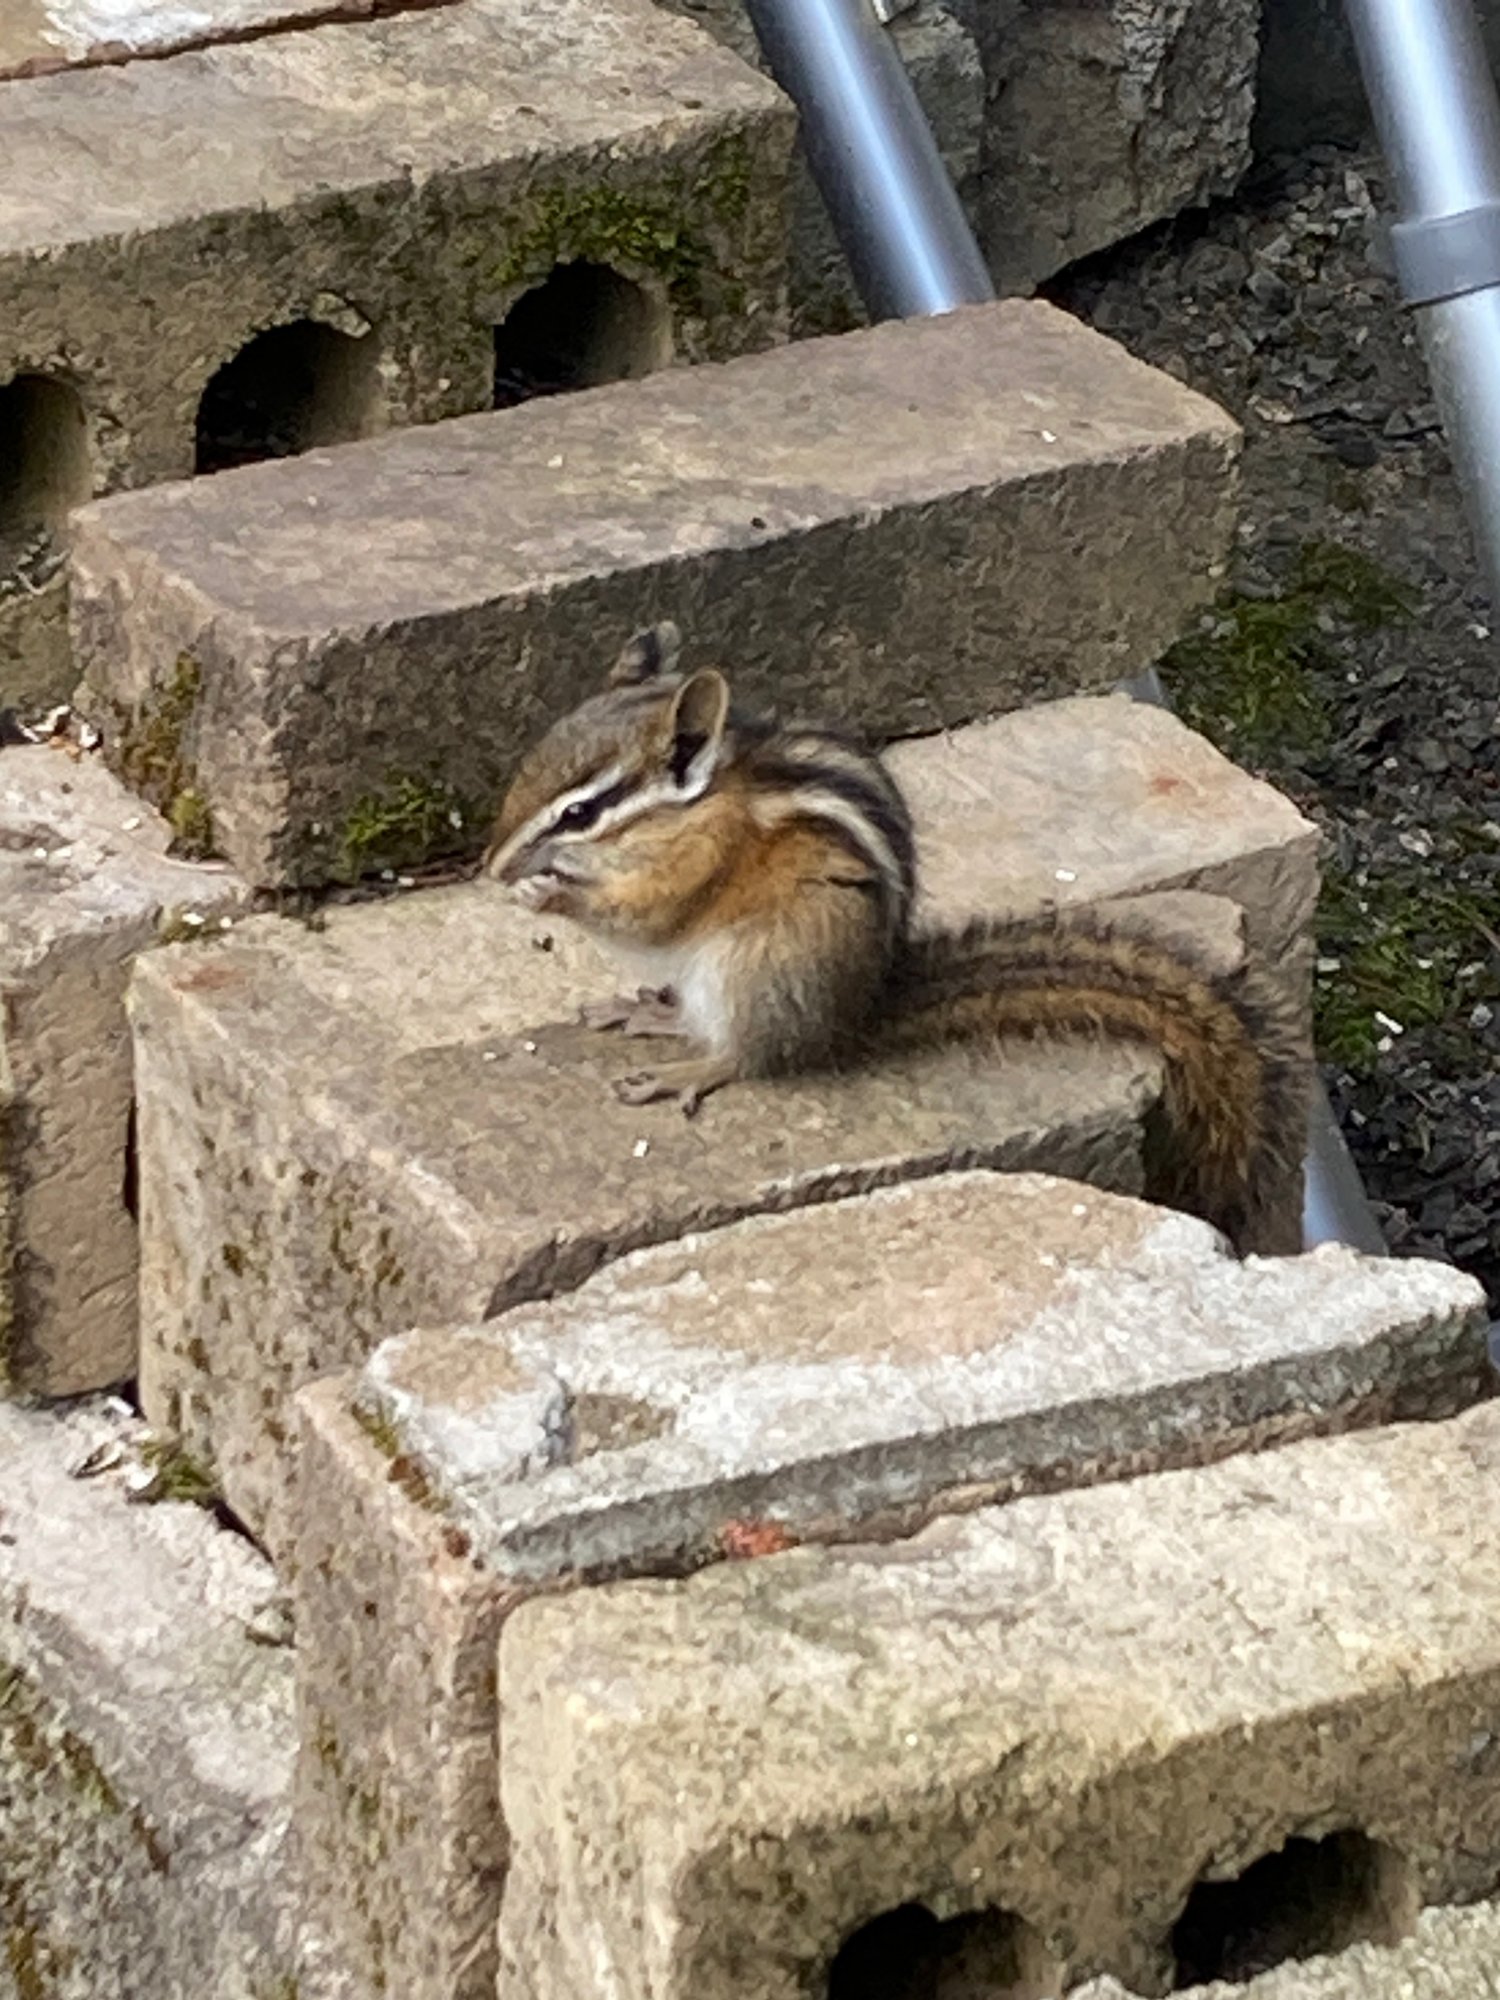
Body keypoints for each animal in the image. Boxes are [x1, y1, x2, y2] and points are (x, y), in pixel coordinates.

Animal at [483, 622, 1306, 1256]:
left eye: (580, 812)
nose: (490, 866)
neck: (691, 809)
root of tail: (860, 1009)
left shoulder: (698, 866)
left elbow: (651, 913)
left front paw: (548, 892)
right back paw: (650, 1012)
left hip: (754, 966)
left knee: (751, 1053)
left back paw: (687, 1070)